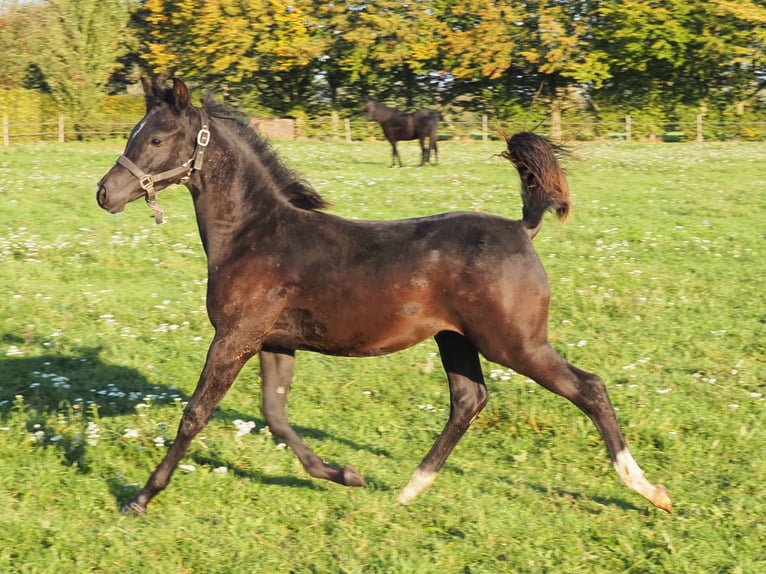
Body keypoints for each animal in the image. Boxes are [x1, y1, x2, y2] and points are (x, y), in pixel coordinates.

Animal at [96, 77, 672, 515]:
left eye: (156, 140)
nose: (105, 193)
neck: (253, 233)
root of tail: (521, 228)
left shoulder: (235, 337)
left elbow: (195, 413)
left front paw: (140, 498)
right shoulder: (274, 342)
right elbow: (275, 416)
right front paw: (345, 474)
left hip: (516, 344)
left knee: (589, 388)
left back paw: (647, 489)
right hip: (454, 340)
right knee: (469, 400)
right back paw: (409, 488)